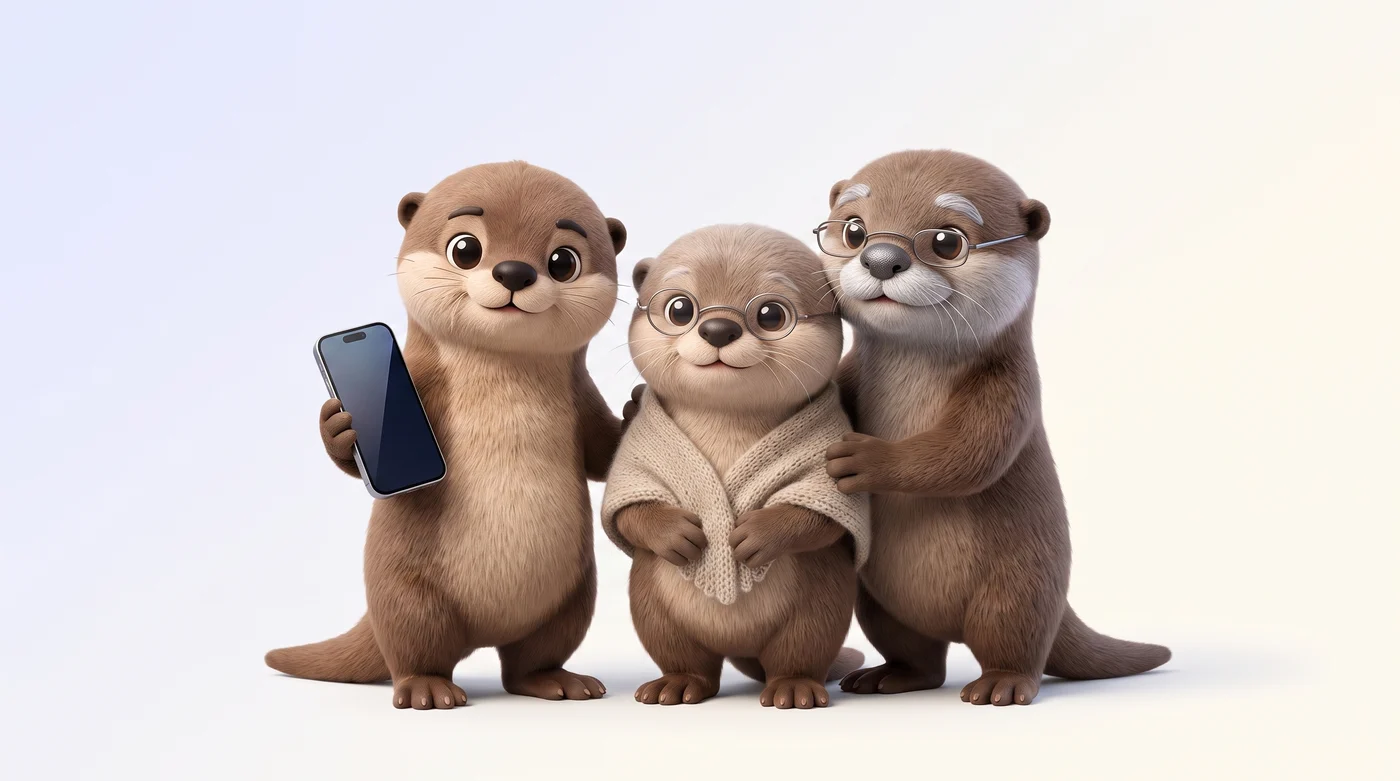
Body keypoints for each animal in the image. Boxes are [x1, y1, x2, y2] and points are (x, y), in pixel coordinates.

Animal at [266, 161, 627, 709]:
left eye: (564, 261)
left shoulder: (581, 399)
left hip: (571, 598)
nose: (514, 271)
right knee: (414, 649)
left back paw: (559, 681)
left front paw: (636, 408)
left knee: (528, 661)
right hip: (407, 595)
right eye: (466, 248)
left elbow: (603, 452)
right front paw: (340, 425)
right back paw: (427, 690)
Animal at [601, 225, 869, 710]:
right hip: (655, 610)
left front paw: (755, 535)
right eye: (680, 308)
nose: (718, 327)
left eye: (770, 314)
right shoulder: (636, 457)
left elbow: (820, 518)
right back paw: (675, 685)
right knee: (689, 661)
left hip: (819, 610)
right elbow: (629, 511)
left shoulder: (827, 454)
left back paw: (794, 689)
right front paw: (676, 533)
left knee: (799, 654)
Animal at [819, 150, 1170, 706]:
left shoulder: (1009, 389)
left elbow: (965, 456)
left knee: (1015, 642)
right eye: (854, 230)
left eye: (947, 240)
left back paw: (999, 686)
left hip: (1017, 588)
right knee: (922, 659)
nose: (880, 258)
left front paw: (862, 458)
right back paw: (885, 677)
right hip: (878, 604)